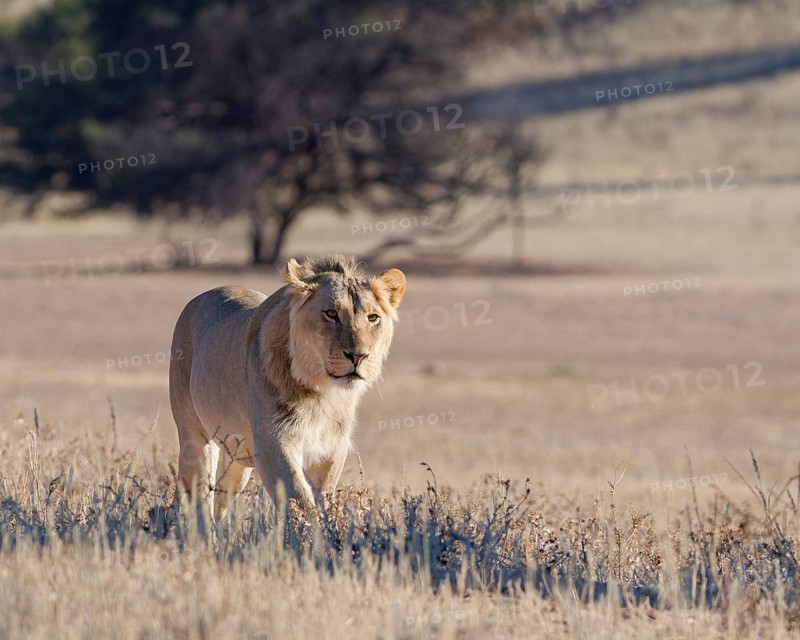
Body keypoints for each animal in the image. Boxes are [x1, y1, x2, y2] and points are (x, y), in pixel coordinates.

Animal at [168, 253, 406, 518]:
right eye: (331, 313)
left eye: (372, 317)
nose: (358, 356)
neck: (323, 391)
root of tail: (203, 295)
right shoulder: (273, 443)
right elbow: (298, 499)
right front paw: (310, 529)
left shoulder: (331, 448)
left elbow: (323, 497)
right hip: (195, 439)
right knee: (199, 499)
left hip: (238, 458)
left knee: (221, 500)